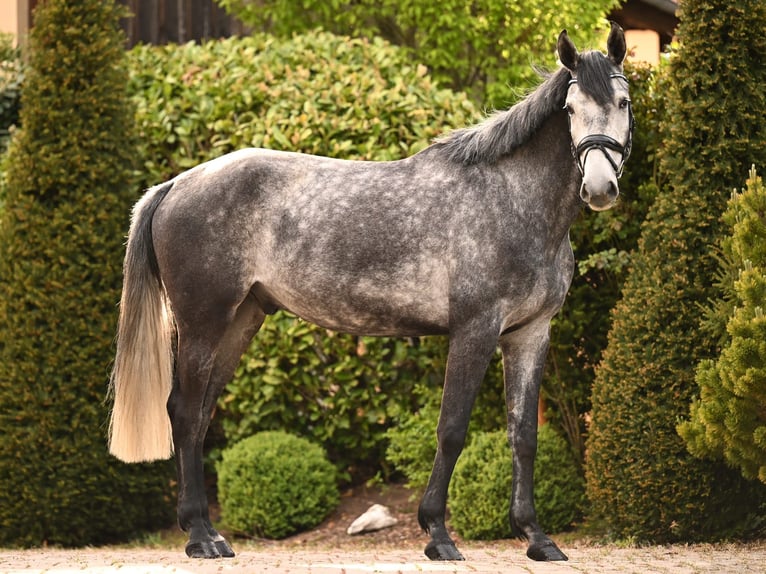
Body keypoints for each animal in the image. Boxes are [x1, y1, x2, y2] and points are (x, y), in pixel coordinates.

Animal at [108, 23, 632, 562]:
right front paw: (437, 535)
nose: (599, 188)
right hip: (202, 323)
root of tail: (175, 184)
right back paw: (197, 537)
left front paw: (536, 538)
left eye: (624, 102)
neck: (510, 200)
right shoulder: (475, 329)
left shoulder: (530, 333)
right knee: (183, 410)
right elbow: (451, 429)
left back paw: (212, 535)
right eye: (569, 109)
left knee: (199, 414)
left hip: (240, 320)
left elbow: (524, 434)